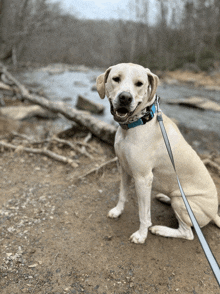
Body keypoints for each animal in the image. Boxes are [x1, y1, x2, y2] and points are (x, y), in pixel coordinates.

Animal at [96, 63, 220, 243]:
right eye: (116, 78)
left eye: (139, 83)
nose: (125, 98)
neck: (135, 125)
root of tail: (213, 214)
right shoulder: (124, 168)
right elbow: (122, 194)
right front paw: (117, 211)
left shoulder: (143, 179)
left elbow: (144, 214)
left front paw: (141, 235)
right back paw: (165, 197)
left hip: (182, 203)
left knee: (187, 233)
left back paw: (160, 230)